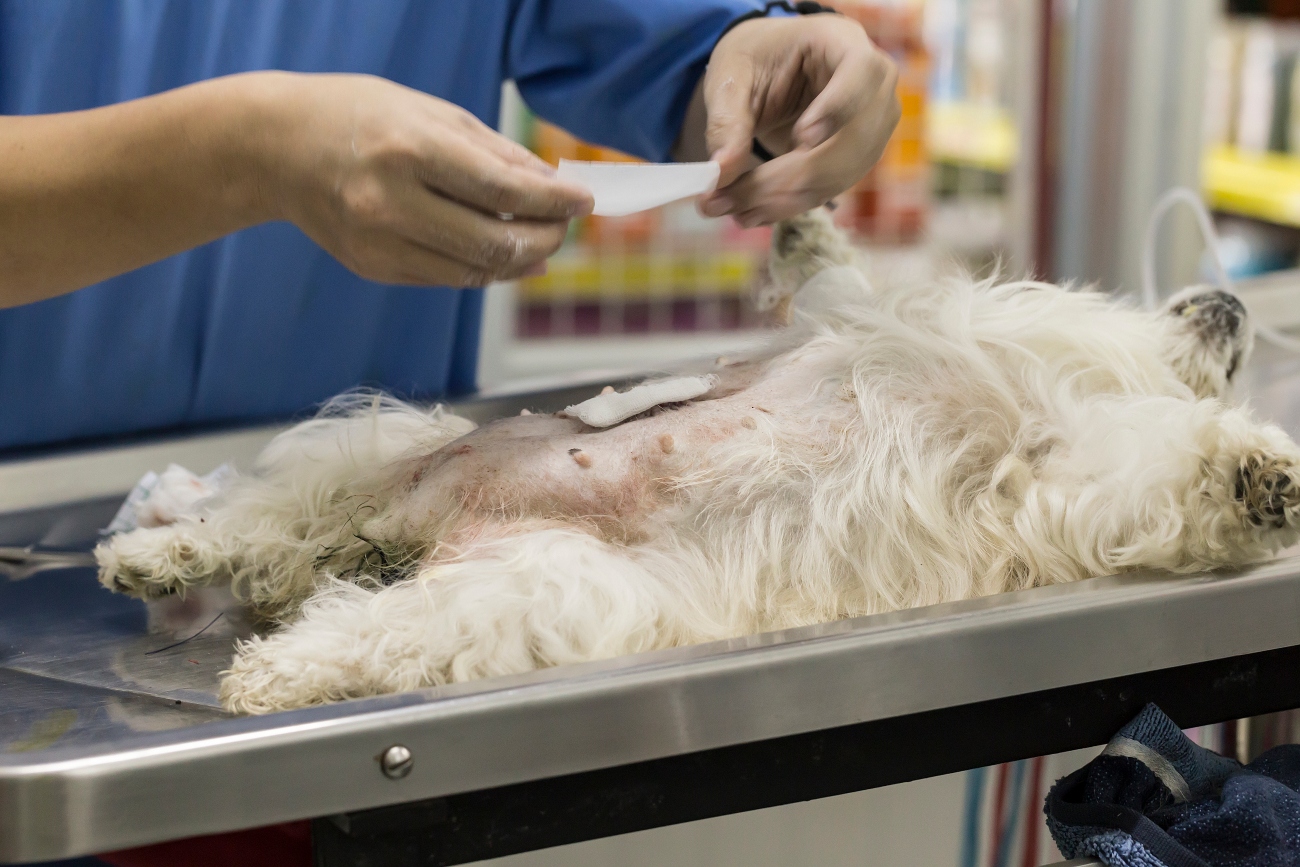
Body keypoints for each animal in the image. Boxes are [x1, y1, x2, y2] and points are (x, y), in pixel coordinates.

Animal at [98, 207, 1300, 712]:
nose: (1232, 299)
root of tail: (404, 531)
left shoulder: (1058, 486)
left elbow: (1162, 486)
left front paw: (1257, 479)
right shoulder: (875, 322)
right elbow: (837, 275)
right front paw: (804, 221)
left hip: (525, 590)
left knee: (343, 614)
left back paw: (268, 665)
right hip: (383, 443)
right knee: (258, 526)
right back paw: (158, 556)